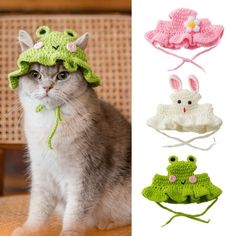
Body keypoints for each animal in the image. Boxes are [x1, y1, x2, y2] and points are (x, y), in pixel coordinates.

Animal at [12, 31, 131, 236]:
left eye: (62, 75)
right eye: (35, 75)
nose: (47, 87)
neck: (50, 121)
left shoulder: (86, 175)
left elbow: (76, 210)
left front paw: (70, 232)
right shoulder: (42, 173)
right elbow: (38, 207)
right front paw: (29, 229)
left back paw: (108, 223)